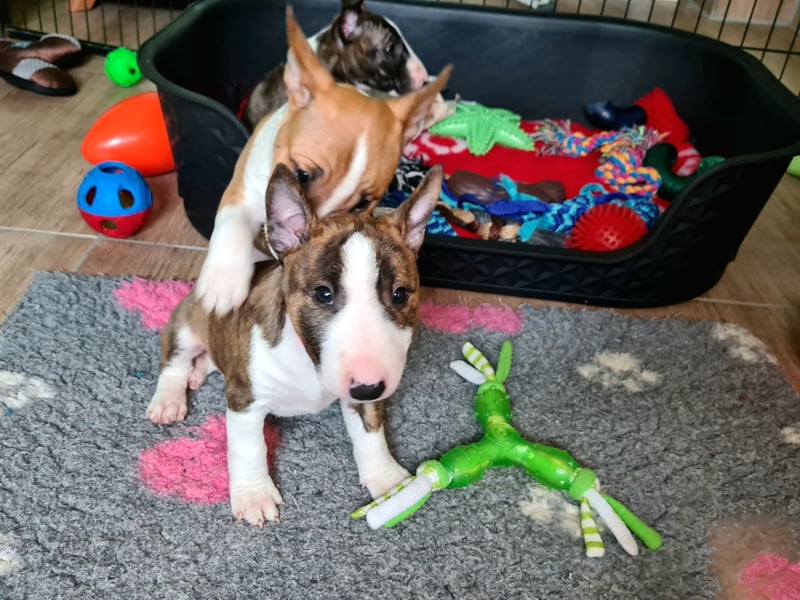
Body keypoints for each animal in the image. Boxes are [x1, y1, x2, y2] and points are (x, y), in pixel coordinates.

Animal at [147, 162, 440, 528]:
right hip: (187, 325)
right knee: (172, 363)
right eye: (323, 294)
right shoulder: (244, 398)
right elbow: (249, 448)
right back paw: (168, 400)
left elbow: (371, 432)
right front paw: (254, 496)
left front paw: (389, 484)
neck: (308, 361)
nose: (369, 388)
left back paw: (199, 373)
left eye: (400, 294)